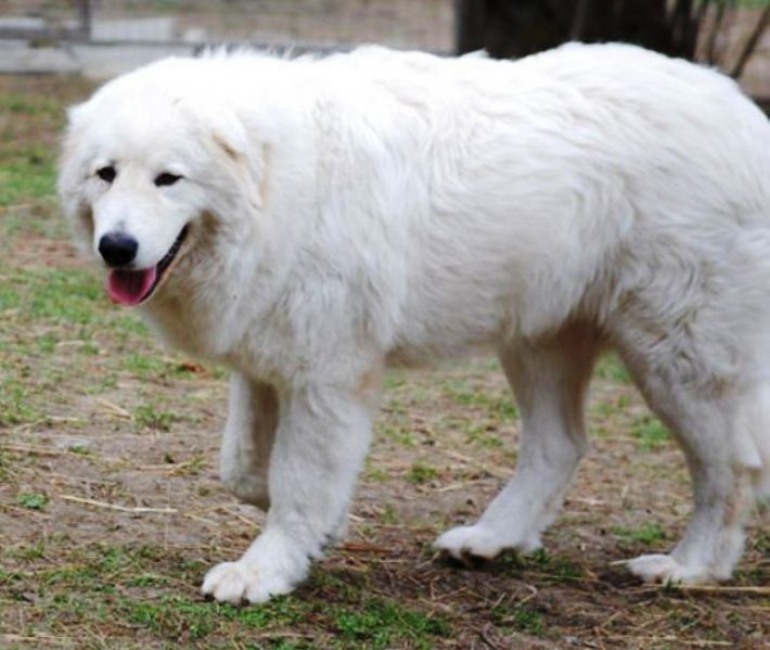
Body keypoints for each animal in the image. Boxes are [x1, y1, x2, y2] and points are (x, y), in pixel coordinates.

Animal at [58, 44, 768, 604]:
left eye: (169, 179)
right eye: (107, 174)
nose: (116, 248)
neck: (281, 183)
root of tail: (742, 112)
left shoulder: (327, 379)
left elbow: (296, 479)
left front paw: (265, 570)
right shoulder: (268, 366)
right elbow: (244, 470)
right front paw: (325, 529)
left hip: (678, 359)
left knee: (732, 468)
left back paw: (692, 568)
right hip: (540, 342)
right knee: (560, 445)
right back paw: (491, 540)